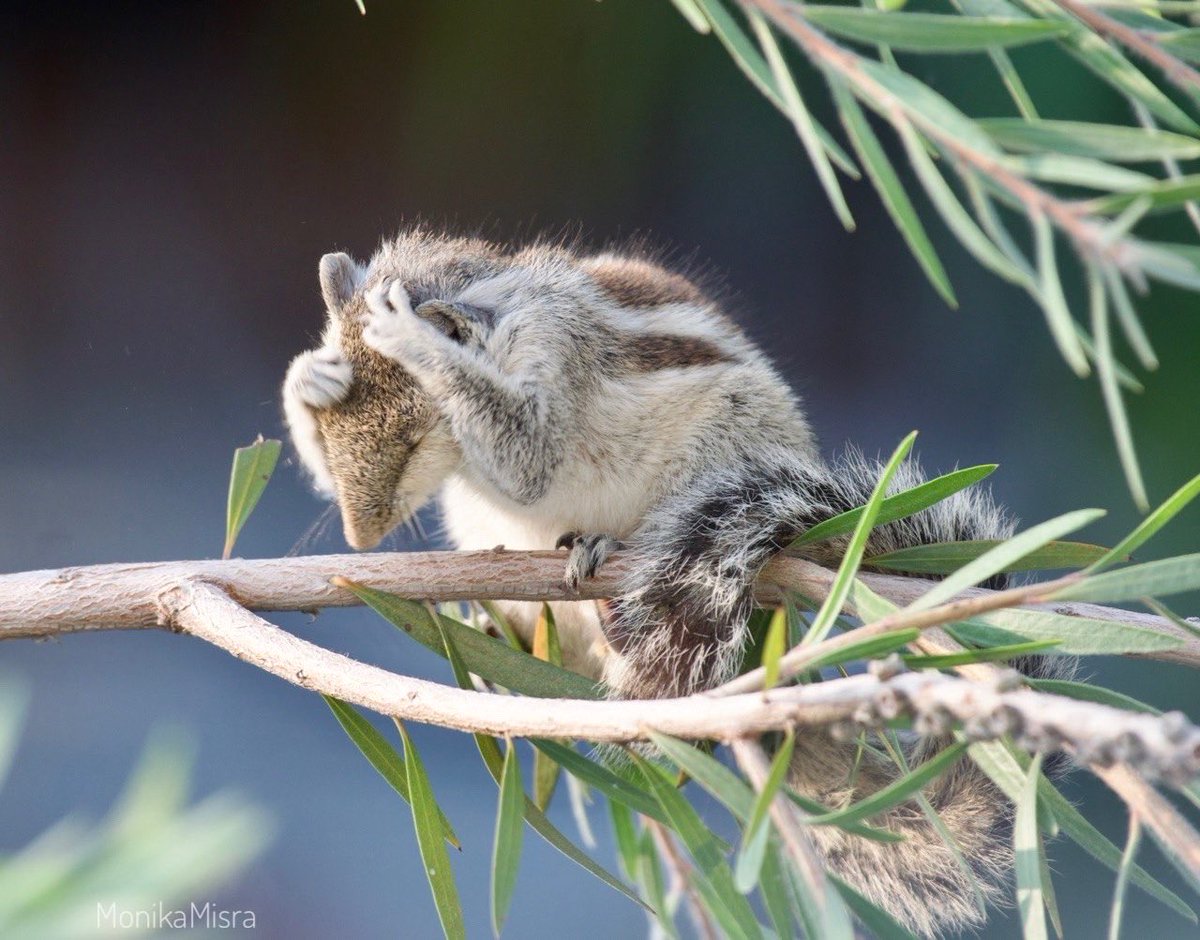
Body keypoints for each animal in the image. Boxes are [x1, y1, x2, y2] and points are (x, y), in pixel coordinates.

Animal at [282, 226, 1069, 937]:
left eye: (415, 438)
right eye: (331, 436)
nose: (360, 538)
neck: (499, 301)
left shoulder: (554, 353)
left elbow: (526, 451)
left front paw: (410, 338)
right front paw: (309, 378)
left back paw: (601, 561)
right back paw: (492, 631)